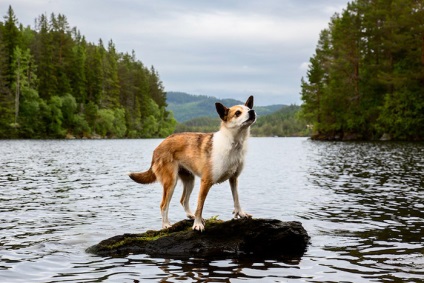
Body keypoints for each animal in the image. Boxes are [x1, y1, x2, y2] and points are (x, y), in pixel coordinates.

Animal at [128, 96, 255, 232]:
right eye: (237, 113)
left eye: (249, 108)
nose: (252, 112)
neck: (233, 143)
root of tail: (158, 147)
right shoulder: (206, 181)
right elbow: (200, 205)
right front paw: (197, 224)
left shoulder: (234, 178)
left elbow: (236, 198)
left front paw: (241, 213)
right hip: (170, 182)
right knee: (163, 205)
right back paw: (166, 224)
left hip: (189, 180)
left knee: (183, 200)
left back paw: (190, 215)